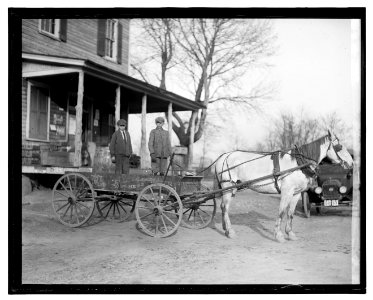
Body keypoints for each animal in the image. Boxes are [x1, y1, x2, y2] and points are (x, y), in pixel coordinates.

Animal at [214, 130, 354, 243]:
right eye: (339, 146)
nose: (351, 162)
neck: (298, 163)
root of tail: (224, 156)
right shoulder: (286, 192)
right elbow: (281, 212)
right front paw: (279, 235)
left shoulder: (296, 193)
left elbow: (290, 213)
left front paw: (290, 234)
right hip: (228, 187)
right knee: (225, 207)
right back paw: (230, 231)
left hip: (232, 188)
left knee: (223, 207)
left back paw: (225, 229)